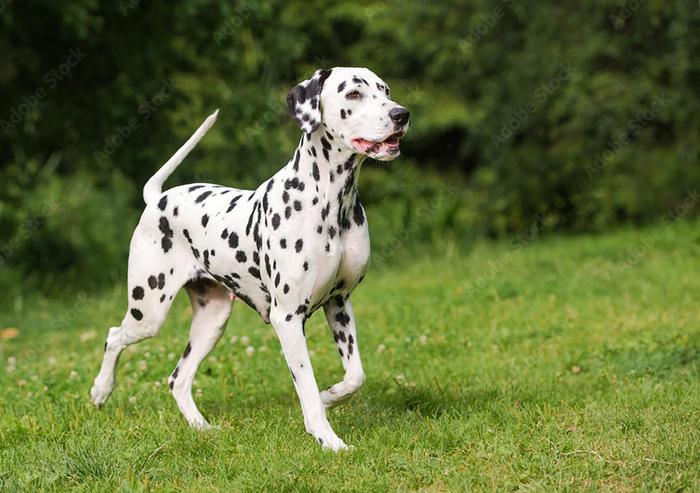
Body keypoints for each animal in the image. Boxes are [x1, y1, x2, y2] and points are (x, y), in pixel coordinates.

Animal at [91, 66, 410, 450]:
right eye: (353, 94)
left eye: (385, 90)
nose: (402, 114)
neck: (331, 202)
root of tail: (157, 199)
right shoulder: (288, 319)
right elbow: (305, 386)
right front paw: (328, 439)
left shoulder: (340, 303)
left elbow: (355, 376)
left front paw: (329, 395)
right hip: (148, 312)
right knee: (113, 336)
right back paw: (101, 390)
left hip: (212, 321)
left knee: (178, 379)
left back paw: (201, 427)